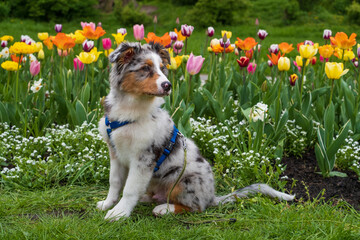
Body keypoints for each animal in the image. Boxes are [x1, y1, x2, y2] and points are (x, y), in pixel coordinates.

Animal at [96, 41, 296, 221]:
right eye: (145, 68)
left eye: (162, 68)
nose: (168, 85)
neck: (130, 109)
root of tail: (212, 197)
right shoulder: (115, 152)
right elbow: (115, 182)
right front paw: (108, 204)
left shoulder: (143, 158)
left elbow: (129, 189)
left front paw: (119, 213)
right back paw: (147, 198)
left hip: (184, 179)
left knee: (195, 207)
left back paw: (164, 209)